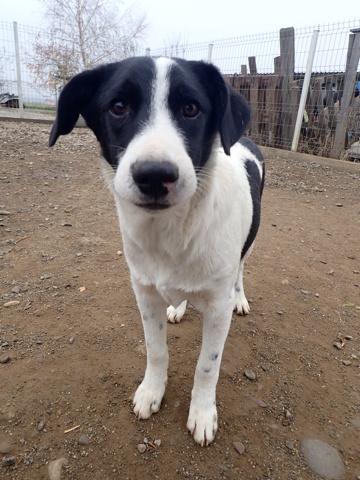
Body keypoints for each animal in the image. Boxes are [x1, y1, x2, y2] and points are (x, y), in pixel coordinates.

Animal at [49, 56, 264, 446]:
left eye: (191, 108)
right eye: (118, 106)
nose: (153, 175)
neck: (172, 233)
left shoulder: (218, 307)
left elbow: (207, 365)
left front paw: (202, 413)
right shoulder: (145, 293)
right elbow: (156, 350)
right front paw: (152, 391)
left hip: (249, 244)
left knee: (241, 270)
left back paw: (240, 297)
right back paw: (178, 307)